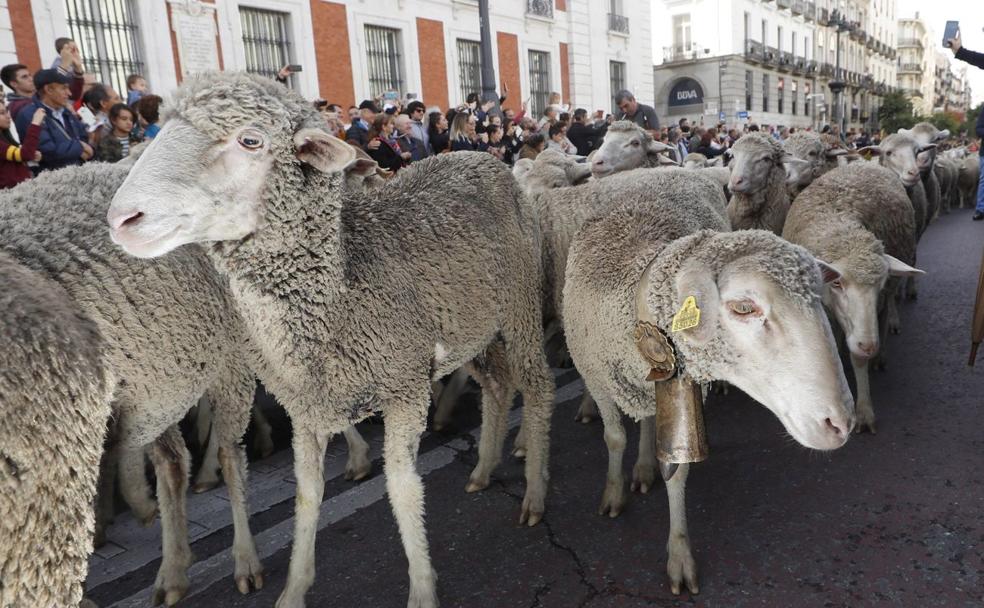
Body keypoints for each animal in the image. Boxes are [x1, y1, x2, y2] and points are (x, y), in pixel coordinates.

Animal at [0, 164, 270, 604]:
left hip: (231, 356)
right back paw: (172, 570)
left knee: (230, 454)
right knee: (173, 462)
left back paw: (245, 561)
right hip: (158, 383)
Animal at [108, 72, 556, 608]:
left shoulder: (404, 388)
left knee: (536, 384)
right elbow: (307, 494)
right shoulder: (307, 407)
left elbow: (403, 488)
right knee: (497, 384)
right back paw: (484, 468)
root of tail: (482, 159)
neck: (340, 290)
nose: (121, 218)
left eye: (250, 140)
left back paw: (534, 493)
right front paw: (293, 589)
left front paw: (422, 588)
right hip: (472, 328)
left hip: (520, 304)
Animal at [560, 173, 852, 596]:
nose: (841, 424)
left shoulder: (681, 388)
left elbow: (677, 469)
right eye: (744, 307)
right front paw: (613, 492)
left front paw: (680, 556)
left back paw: (644, 467)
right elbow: (614, 439)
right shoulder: (600, 380)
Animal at [780, 162, 928, 432]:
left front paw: (864, 411)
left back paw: (880, 354)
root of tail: (863, 162)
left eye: (879, 285)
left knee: (884, 314)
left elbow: (858, 359)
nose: (869, 345)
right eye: (837, 283)